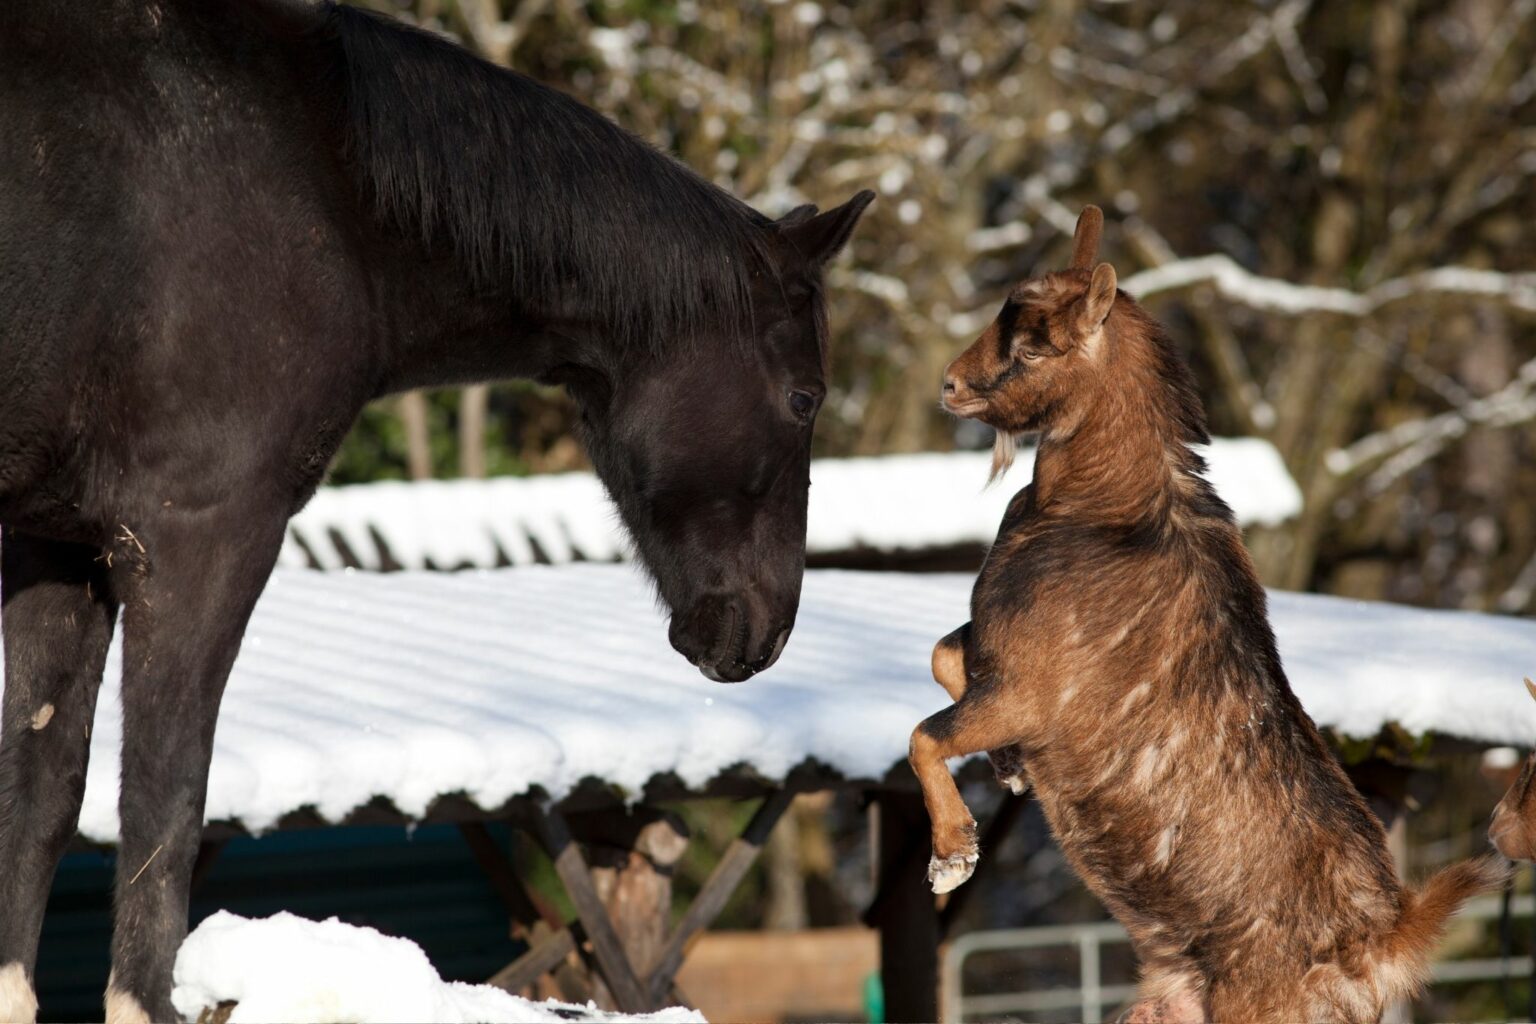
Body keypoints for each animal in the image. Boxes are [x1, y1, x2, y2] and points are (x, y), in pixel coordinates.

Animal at [0, 2, 872, 1019]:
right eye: (805, 399)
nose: (764, 628)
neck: (320, 173)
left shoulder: (59, 549)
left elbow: (39, 807)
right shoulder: (197, 541)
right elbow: (161, 813)